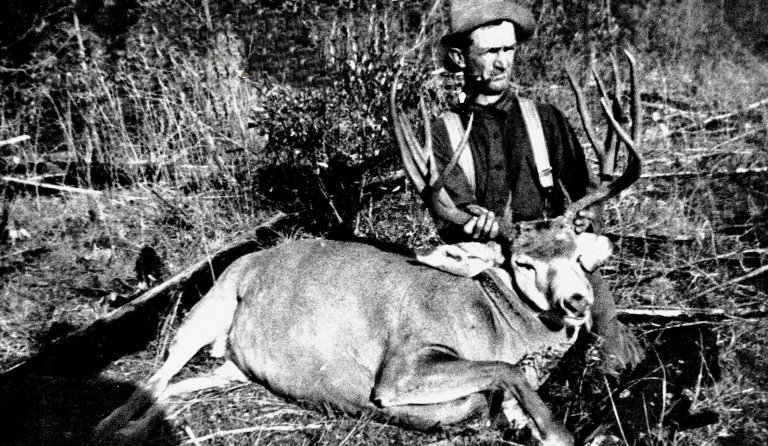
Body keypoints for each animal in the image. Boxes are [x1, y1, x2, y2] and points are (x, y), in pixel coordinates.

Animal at [93, 51, 642, 446]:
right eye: (523, 263)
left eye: (575, 255)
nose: (577, 301)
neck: (496, 320)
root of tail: (246, 259)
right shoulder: (404, 363)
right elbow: (496, 381)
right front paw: (553, 431)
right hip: (207, 308)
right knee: (157, 374)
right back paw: (112, 426)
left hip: (230, 360)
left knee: (187, 382)